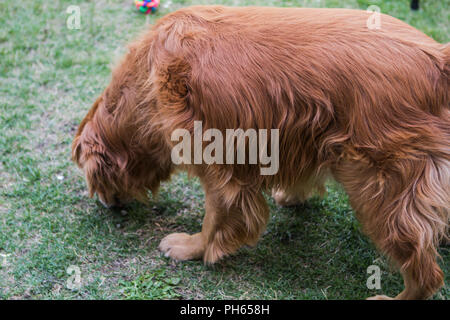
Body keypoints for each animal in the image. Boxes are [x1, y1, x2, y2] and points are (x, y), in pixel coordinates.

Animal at [72, 5, 448, 300]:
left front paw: (194, 247)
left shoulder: (217, 157)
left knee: (425, 269)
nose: (106, 206)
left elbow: (216, 215)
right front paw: (293, 195)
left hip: (378, 187)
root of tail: (438, 60)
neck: (144, 84)